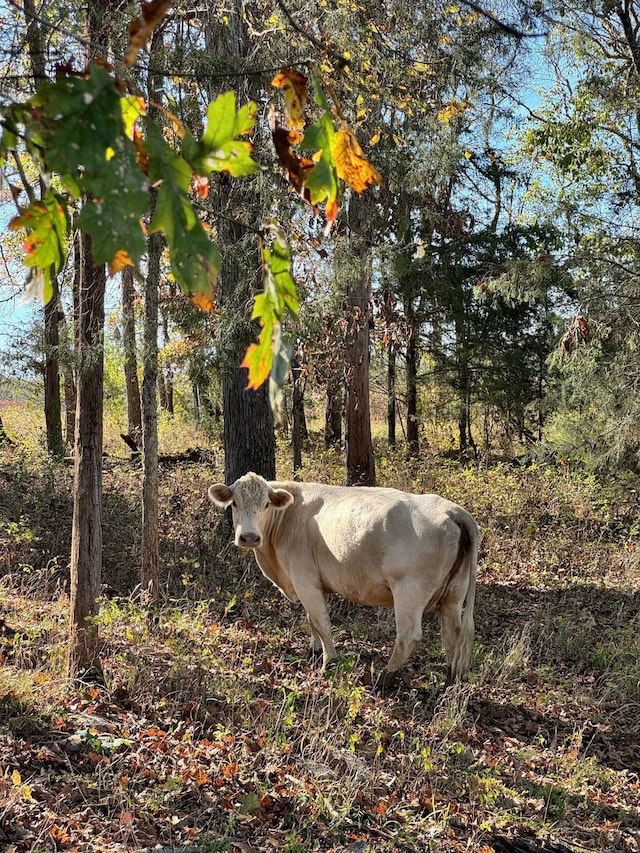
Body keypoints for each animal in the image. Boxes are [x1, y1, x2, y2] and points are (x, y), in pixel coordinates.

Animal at [208, 470, 478, 684]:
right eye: (234, 503)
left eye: (266, 504)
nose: (249, 537)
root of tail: (453, 511)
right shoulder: (312, 583)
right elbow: (311, 620)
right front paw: (315, 651)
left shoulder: (304, 579)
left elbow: (321, 622)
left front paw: (329, 662)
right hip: (454, 593)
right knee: (452, 634)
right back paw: (451, 680)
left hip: (409, 592)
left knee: (409, 636)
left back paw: (384, 678)